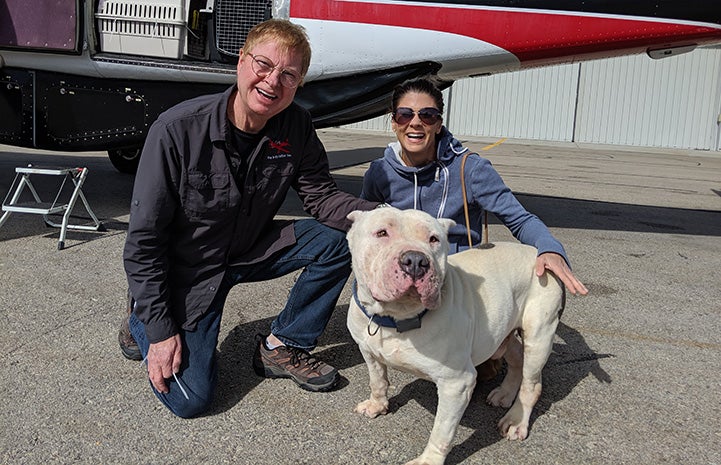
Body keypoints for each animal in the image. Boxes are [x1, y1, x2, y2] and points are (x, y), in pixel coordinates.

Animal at [346, 208, 564, 464]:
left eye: (434, 239)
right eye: (381, 232)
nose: (416, 260)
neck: (395, 317)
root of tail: (539, 254)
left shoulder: (456, 384)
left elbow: (442, 429)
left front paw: (429, 460)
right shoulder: (368, 351)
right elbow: (378, 380)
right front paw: (377, 405)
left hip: (539, 335)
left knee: (532, 384)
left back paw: (516, 420)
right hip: (500, 333)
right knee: (517, 356)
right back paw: (505, 394)